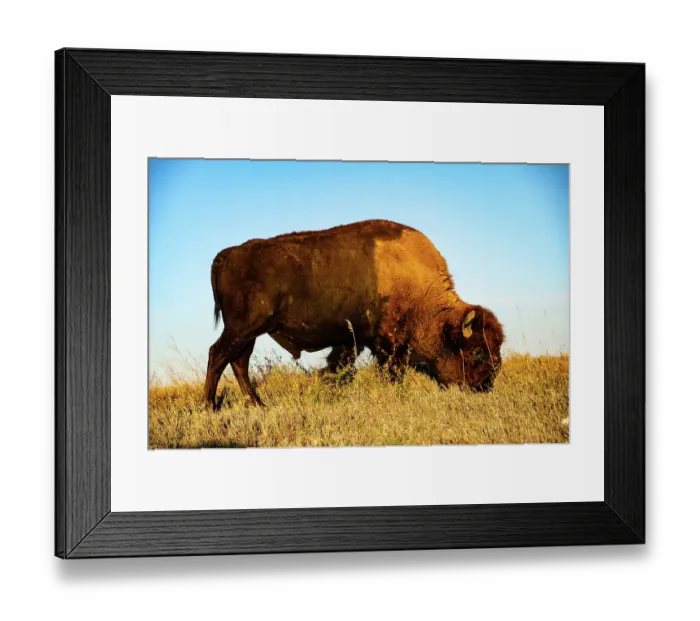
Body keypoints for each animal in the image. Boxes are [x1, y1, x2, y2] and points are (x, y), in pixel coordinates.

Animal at [204, 220, 504, 407]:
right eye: (477, 351)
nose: (486, 384)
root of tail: (226, 255)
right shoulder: (388, 342)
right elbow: (390, 371)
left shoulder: (351, 341)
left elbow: (340, 367)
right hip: (242, 328)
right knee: (218, 355)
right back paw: (209, 406)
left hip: (249, 333)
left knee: (238, 362)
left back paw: (258, 404)